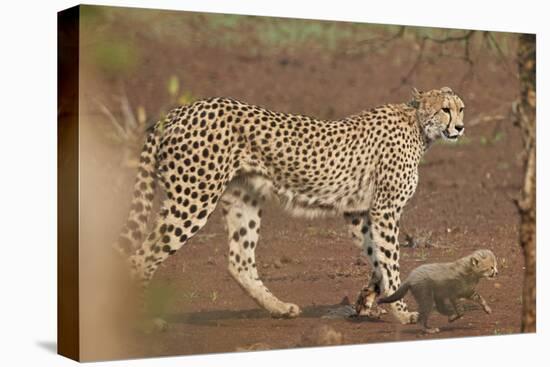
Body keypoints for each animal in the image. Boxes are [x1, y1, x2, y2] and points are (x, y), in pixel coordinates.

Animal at [115, 86, 466, 324]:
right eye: (445, 109)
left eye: (461, 108)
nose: (461, 127)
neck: (417, 124)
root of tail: (179, 111)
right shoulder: (384, 209)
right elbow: (391, 261)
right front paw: (402, 313)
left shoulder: (358, 212)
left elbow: (377, 258)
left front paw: (366, 301)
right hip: (192, 199)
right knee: (139, 257)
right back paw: (146, 322)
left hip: (243, 199)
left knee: (239, 261)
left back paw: (280, 308)